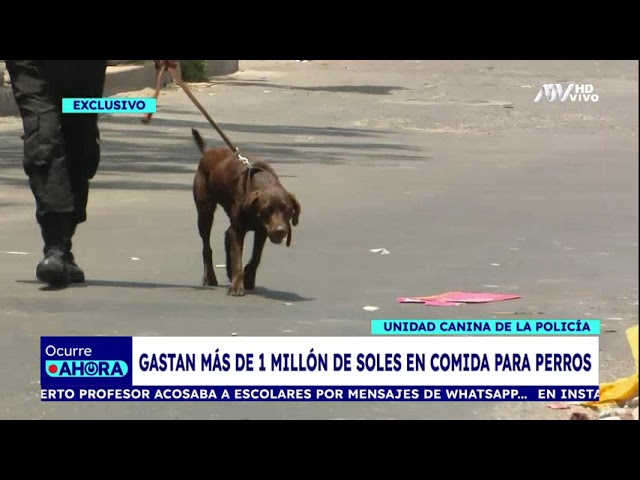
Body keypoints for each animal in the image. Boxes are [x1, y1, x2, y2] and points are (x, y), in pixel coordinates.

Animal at [191, 130, 302, 296]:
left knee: (227, 235)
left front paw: (248, 278)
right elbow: (238, 259)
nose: (280, 231)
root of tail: (207, 152)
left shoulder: (262, 231)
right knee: (207, 247)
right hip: (205, 212)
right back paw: (210, 277)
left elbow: (255, 258)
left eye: (287, 210)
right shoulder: (239, 231)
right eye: (267, 209)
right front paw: (237, 286)